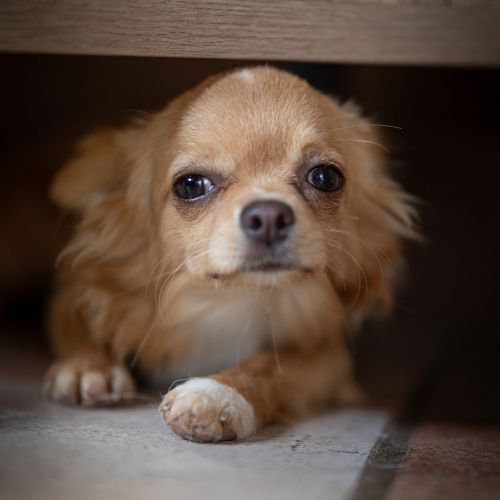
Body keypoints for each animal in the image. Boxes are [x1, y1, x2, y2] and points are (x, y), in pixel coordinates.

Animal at [44, 65, 418, 442]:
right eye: (190, 185)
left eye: (325, 177)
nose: (268, 216)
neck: (225, 300)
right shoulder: (78, 293)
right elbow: (75, 321)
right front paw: (89, 367)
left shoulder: (328, 353)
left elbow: (272, 367)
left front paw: (218, 393)